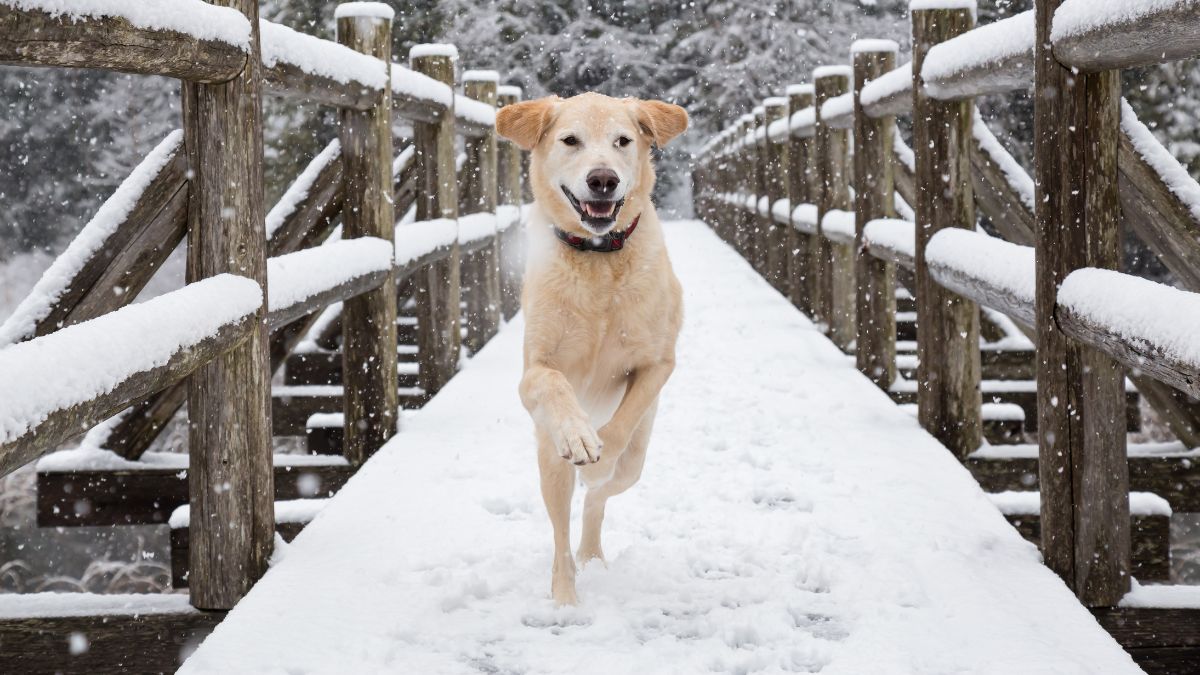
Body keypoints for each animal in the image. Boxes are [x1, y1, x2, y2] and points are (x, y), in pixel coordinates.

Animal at [494, 91, 686, 600]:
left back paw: (592, 549)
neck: (598, 259)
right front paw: (579, 435)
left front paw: (597, 457)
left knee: (599, 497)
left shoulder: (659, 364)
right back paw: (565, 596)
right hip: (548, 459)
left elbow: (618, 430)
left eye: (622, 140)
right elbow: (553, 383)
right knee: (560, 530)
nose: (603, 180)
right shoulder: (534, 372)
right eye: (570, 140)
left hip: (637, 460)